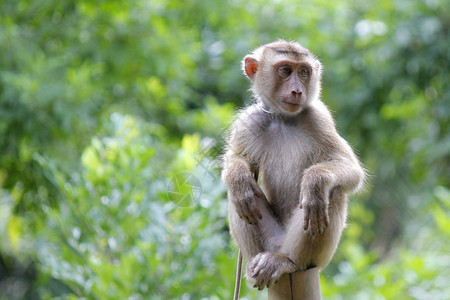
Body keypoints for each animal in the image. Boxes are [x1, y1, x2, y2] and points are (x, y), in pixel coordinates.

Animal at [221, 39, 366, 290]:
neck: (283, 119)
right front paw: (238, 177)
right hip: (269, 238)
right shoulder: (248, 122)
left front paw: (315, 182)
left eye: (304, 72)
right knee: (240, 199)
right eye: (286, 70)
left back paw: (288, 262)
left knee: (332, 193)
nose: (297, 90)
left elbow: (350, 170)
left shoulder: (319, 118)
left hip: (311, 253)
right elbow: (236, 160)